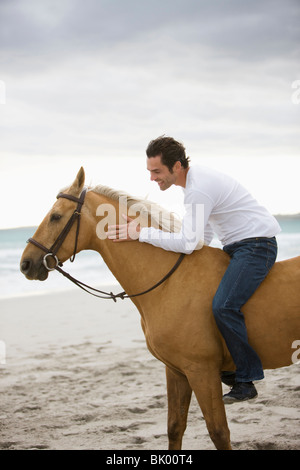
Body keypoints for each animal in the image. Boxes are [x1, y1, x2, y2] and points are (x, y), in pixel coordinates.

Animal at [20, 167, 300, 450]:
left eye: (56, 216)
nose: (25, 263)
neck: (169, 283)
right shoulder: (176, 371)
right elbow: (175, 427)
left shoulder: (201, 371)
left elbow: (218, 431)